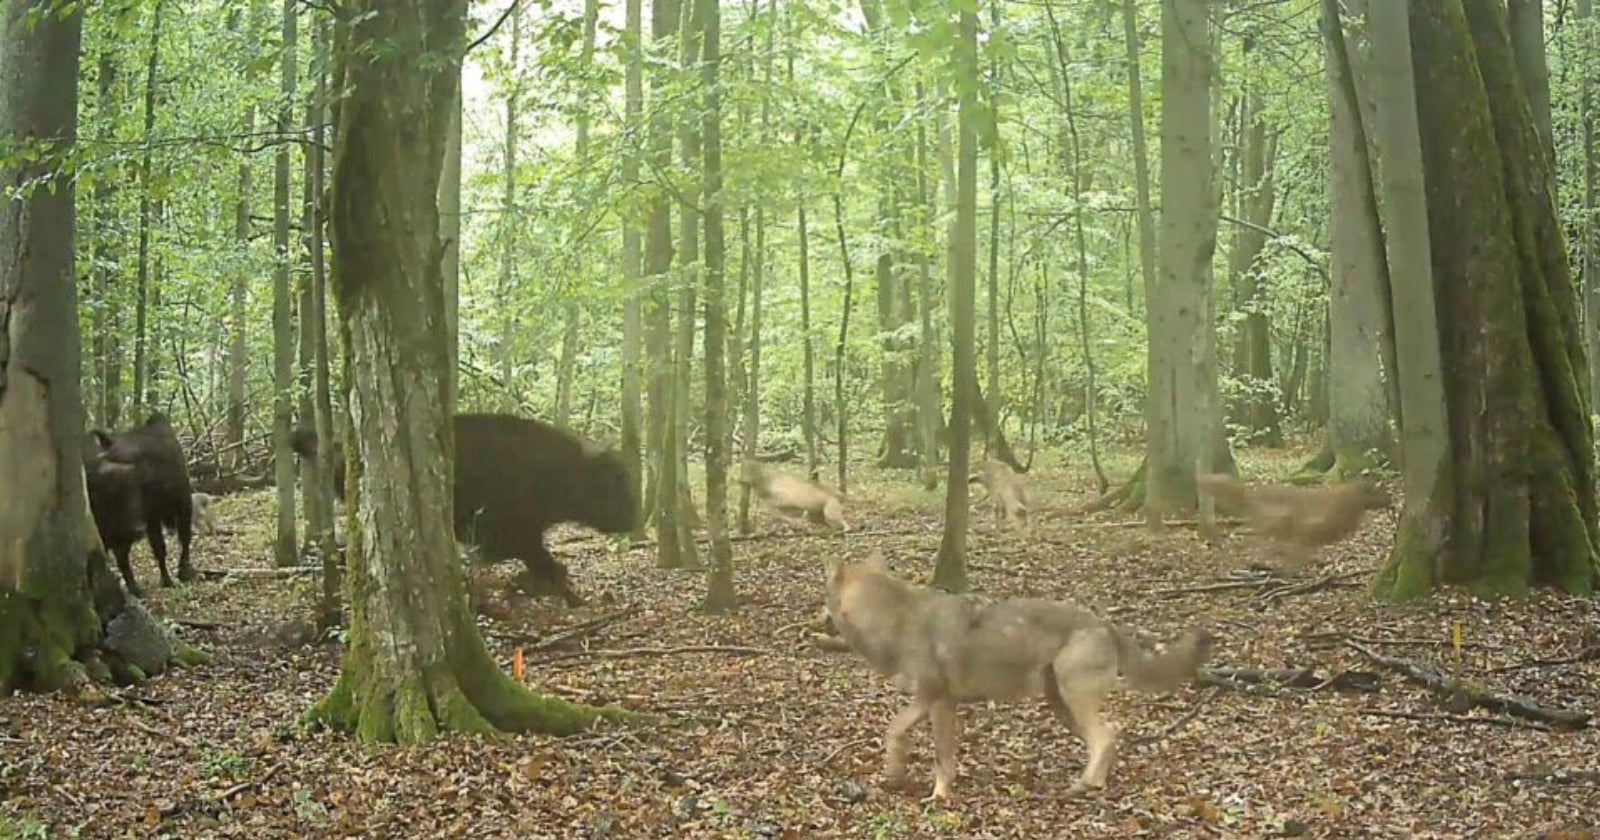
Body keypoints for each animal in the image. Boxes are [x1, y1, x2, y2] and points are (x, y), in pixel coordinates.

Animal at [822, 558, 1211, 800]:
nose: (819, 617)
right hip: (1061, 705)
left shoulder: (938, 700)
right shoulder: (932, 701)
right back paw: (1092, 785)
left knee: (1107, 735)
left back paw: (1084, 785)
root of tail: (1106, 623)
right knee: (1108, 738)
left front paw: (938, 796)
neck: (895, 620)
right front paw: (896, 774)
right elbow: (900, 733)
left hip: (1073, 700)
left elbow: (935, 754)